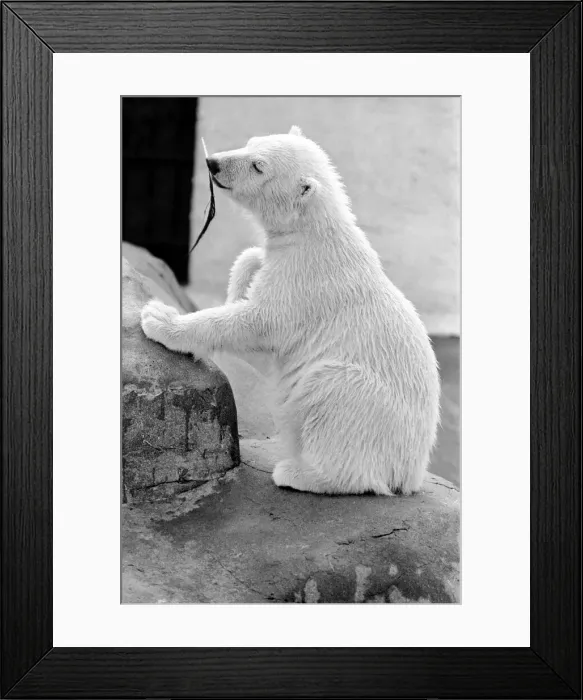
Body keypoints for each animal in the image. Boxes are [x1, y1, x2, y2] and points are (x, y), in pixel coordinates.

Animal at [141, 126, 441, 496]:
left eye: (258, 166)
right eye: (251, 143)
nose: (213, 163)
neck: (313, 232)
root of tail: (413, 472)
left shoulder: (305, 284)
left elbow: (257, 324)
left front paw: (159, 318)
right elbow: (252, 268)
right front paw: (244, 276)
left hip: (375, 414)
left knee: (333, 390)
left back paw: (298, 472)